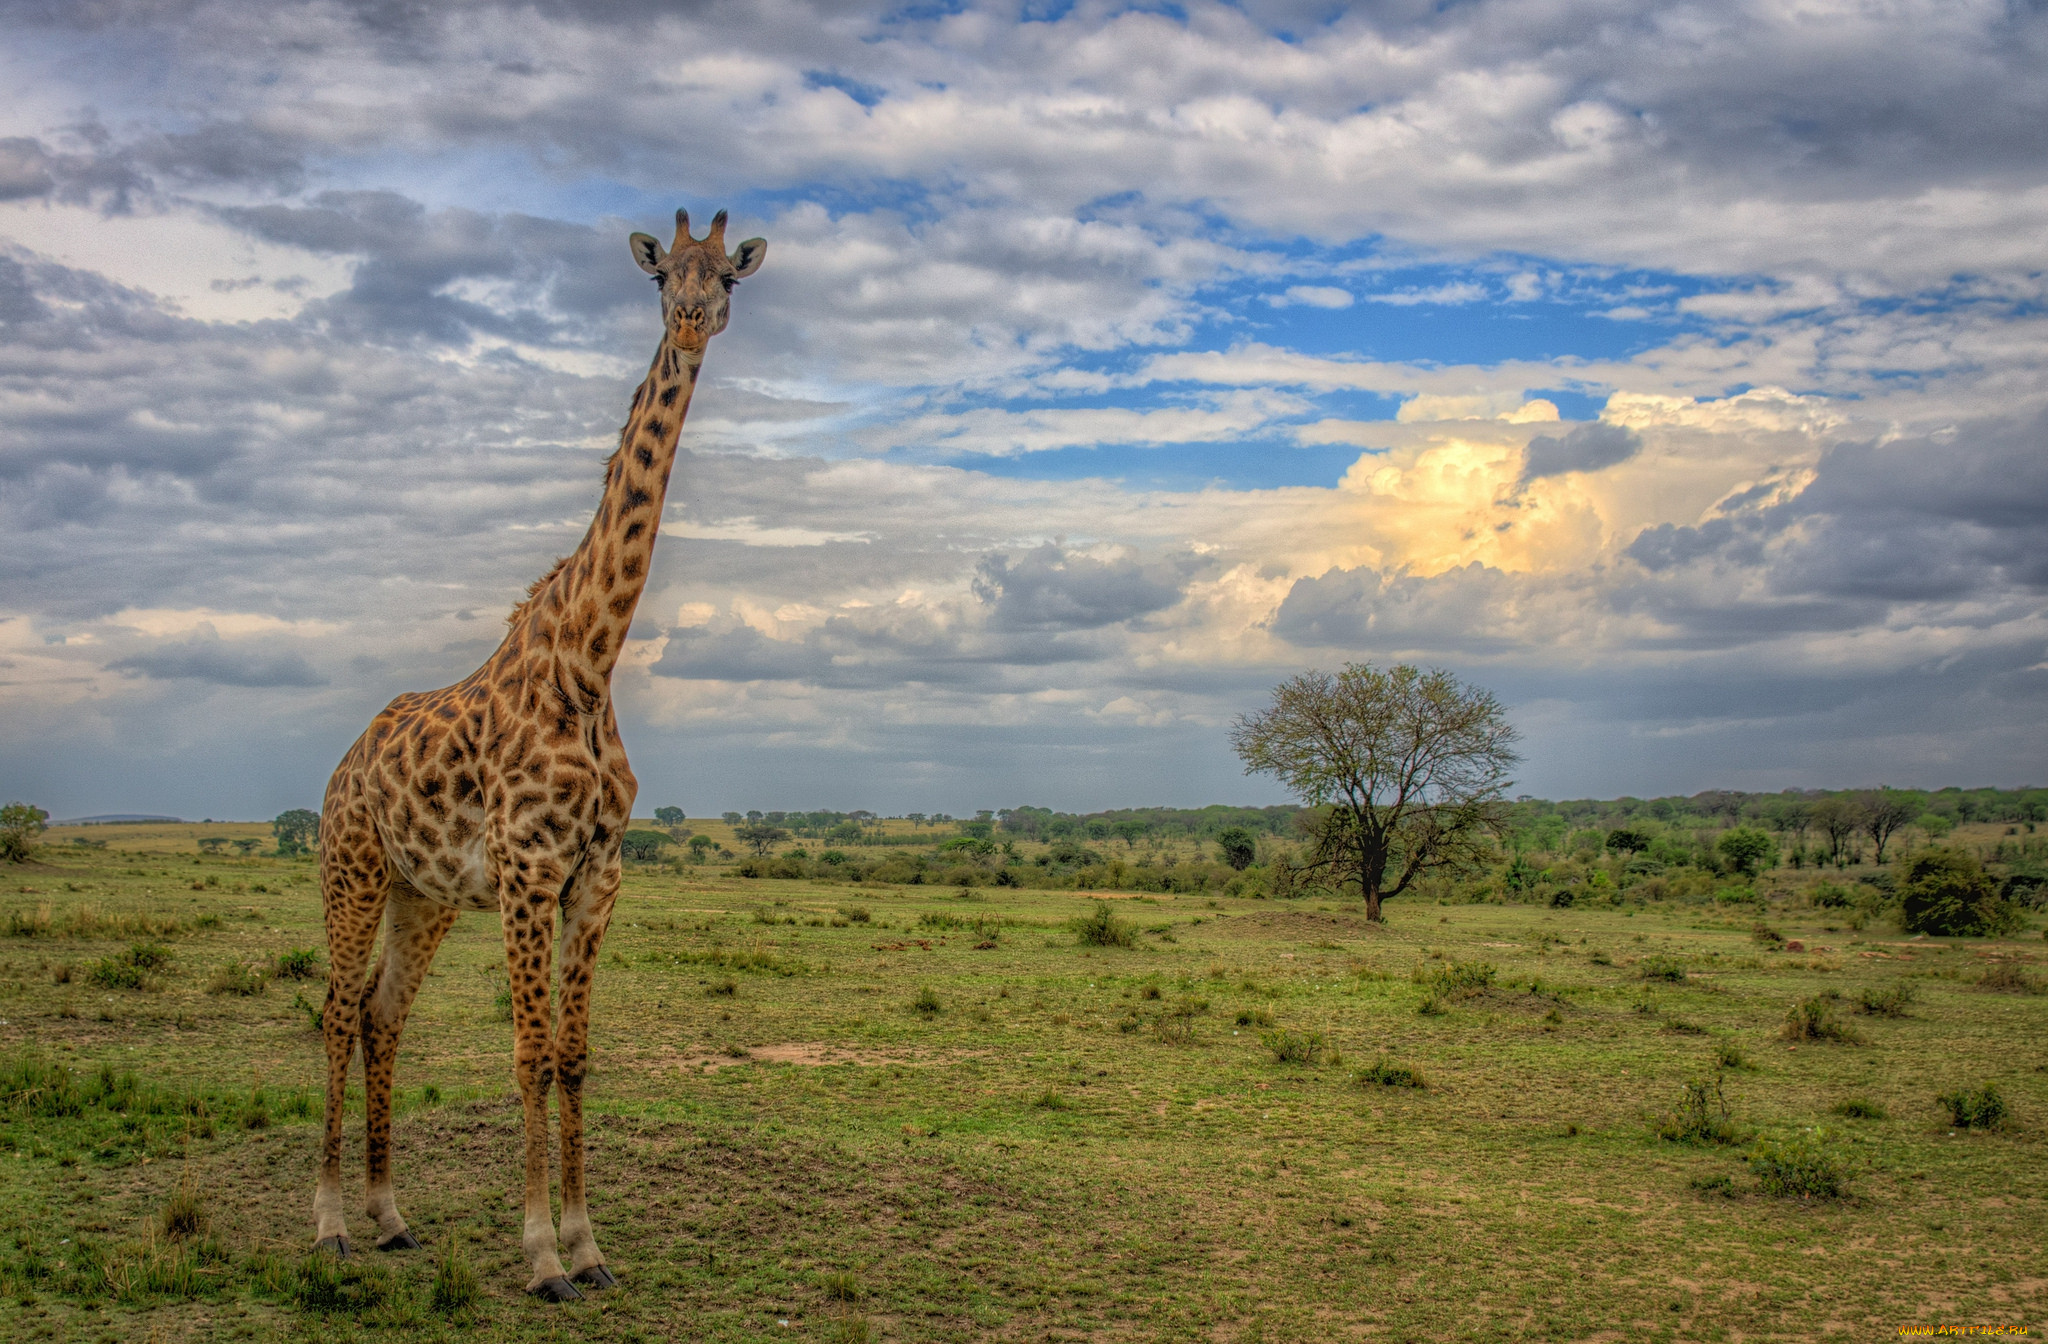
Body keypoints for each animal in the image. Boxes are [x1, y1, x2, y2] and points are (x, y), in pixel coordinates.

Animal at [311, 204, 770, 1294]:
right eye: (662, 277)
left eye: (729, 275)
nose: (692, 322)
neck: (589, 662)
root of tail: (345, 763)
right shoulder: (528, 866)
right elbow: (525, 1054)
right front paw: (538, 1255)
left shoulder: (595, 873)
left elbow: (572, 1057)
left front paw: (589, 1245)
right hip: (352, 868)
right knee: (338, 1012)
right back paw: (329, 1223)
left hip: (423, 894)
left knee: (383, 1013)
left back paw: (390, 1217)